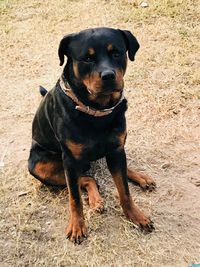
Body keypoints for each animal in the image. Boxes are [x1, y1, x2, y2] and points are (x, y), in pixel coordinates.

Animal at [28, 27, 156, 245]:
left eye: (116, 53)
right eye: (87, 58)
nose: (108, 75)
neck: (96, 110)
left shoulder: (116, 149)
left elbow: (124, 190)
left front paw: (135, 216)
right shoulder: (70, 161)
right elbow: (75, 198)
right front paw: (77, 226)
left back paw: (140, 177)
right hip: (38, 166)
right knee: (87, 179)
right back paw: (96, 200)